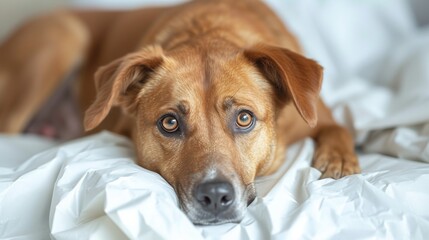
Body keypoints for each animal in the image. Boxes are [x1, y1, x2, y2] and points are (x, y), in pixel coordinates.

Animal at [0, 0, 358, 225]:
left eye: (244, 118)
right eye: (169, 123)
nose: (215, 196)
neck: (210, 30)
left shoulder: (319, 115)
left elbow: (339, 128)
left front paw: (339, 160)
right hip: (59, 40)